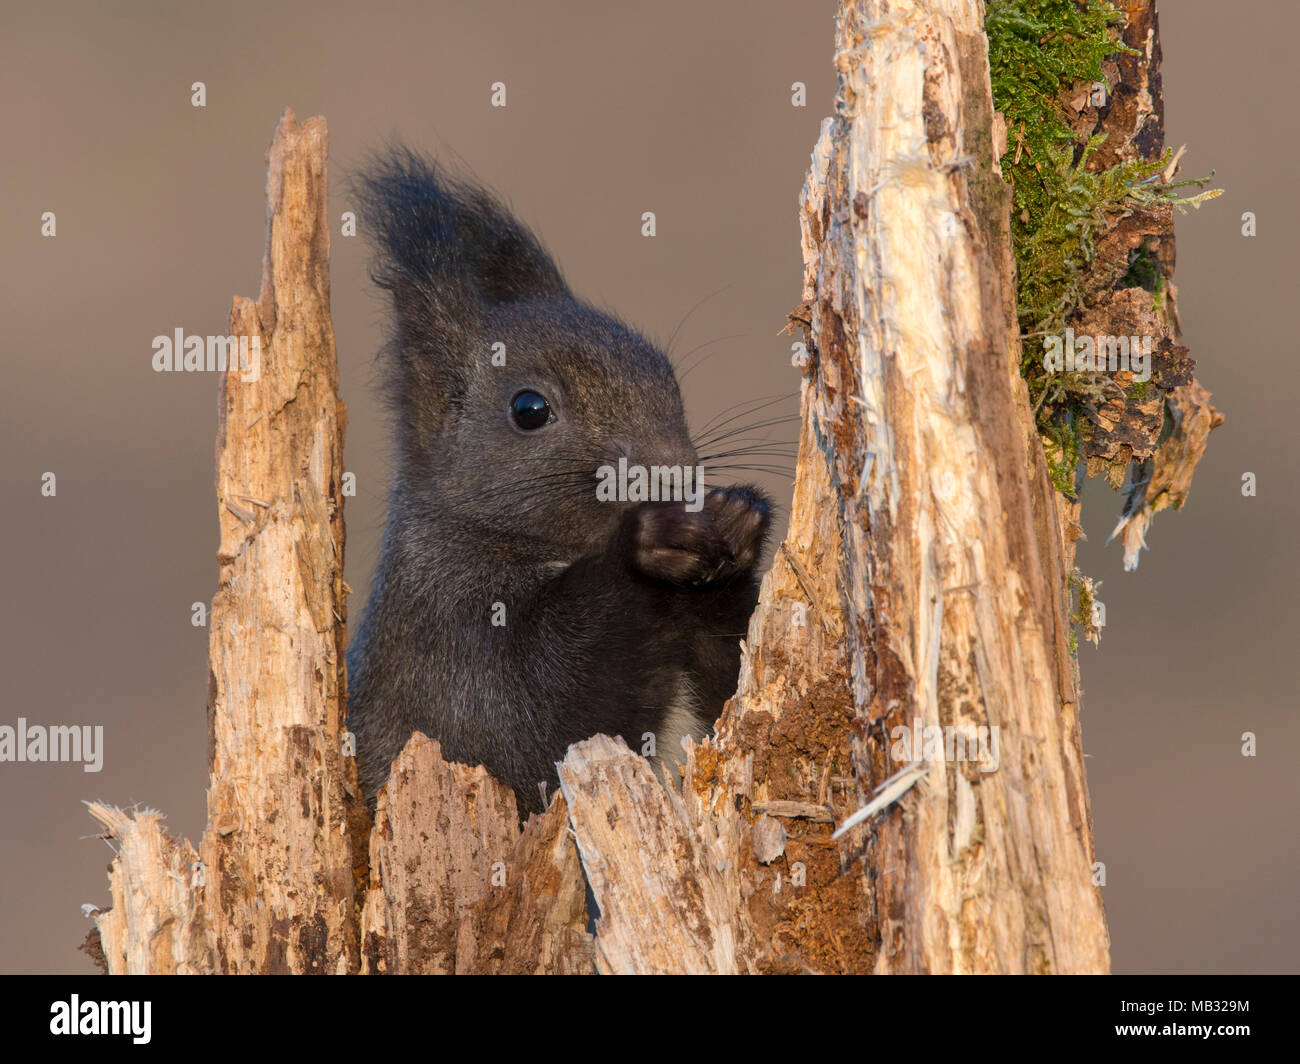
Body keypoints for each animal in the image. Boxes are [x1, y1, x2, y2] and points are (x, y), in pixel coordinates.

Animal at [345, 149, 769, 811]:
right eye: (529, 409)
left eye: (666, 375)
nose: (673, 472)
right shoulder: (448, 658)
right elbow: (539, 726)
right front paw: (649, 544)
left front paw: (739, 519)